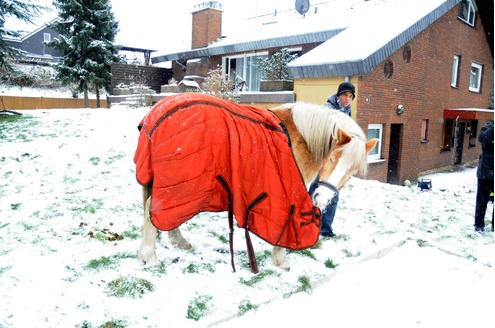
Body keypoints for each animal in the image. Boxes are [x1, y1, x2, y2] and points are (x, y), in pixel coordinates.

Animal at [134, 92, 378, 272]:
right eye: (333, 157)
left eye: (353, 170)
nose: (322, 199)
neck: (299, 138)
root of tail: (155, 116)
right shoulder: (288, 189)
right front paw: (281, 260)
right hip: (181, 185)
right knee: (153, 209)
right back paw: (150, 256)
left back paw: (177, 241)